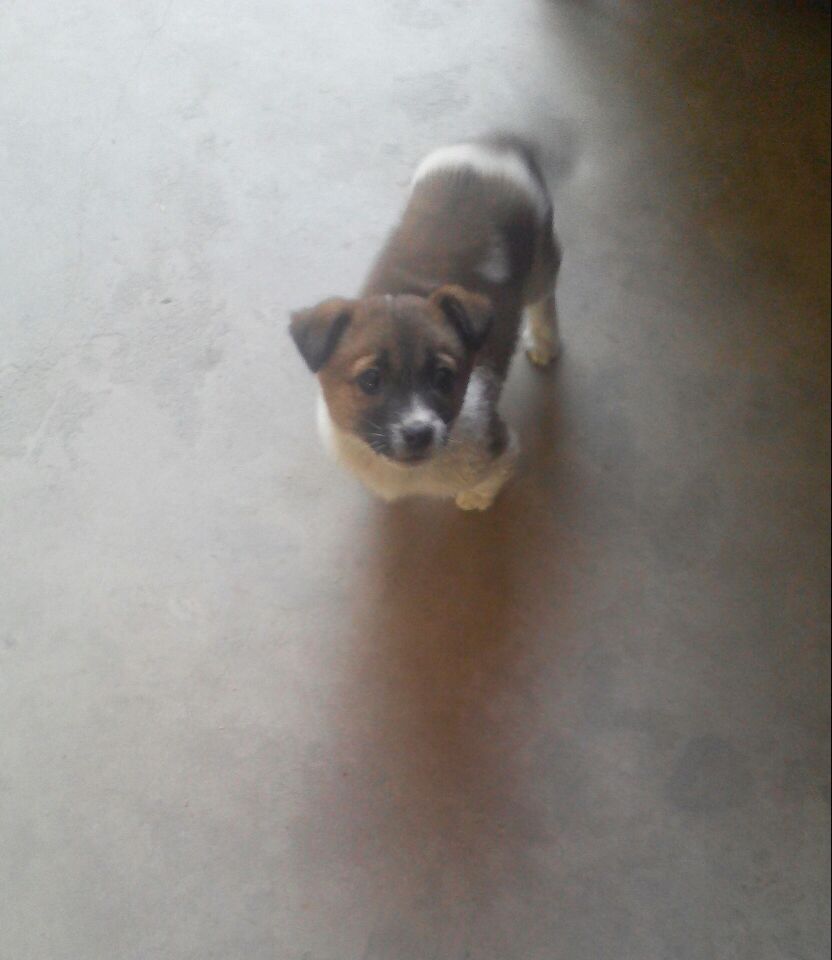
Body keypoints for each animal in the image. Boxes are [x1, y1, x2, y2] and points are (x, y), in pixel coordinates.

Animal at [289, 134, 561, 510]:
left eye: (444, 377)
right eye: (370, 380)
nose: (419, 433)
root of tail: (496, 143)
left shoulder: (499, 446)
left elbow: (492, 477)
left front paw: (476, 497)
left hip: (540, 265)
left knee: (544, 300)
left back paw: (545, 342)